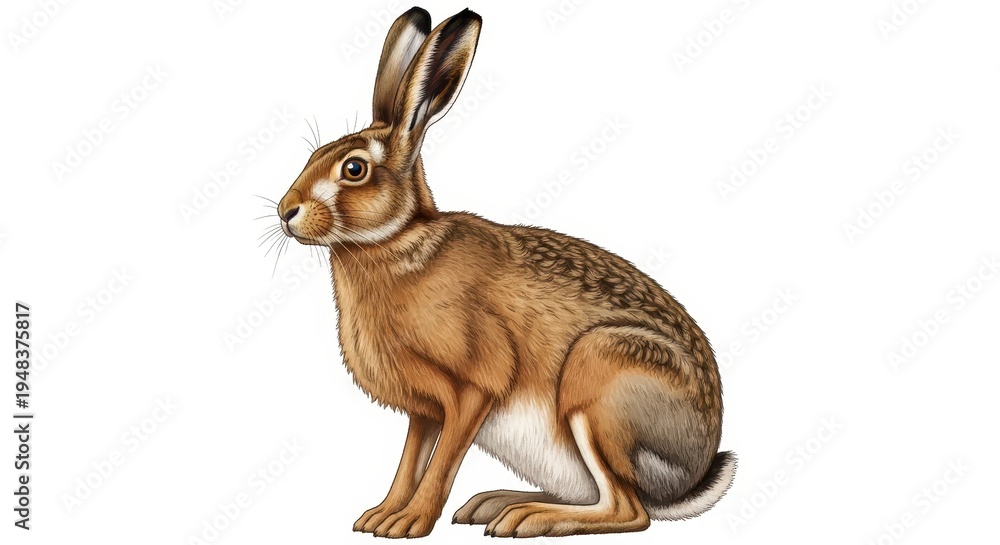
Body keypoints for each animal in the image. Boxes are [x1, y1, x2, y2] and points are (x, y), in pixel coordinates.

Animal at [274, 6, 735, 539]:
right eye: (313, 156)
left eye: (353, 169)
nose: (286, 211)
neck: (399, 242)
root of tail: (690, 479)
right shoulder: (424, 410)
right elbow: (409, 462)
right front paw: (381, 516)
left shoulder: (473, 389)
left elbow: (440, 465)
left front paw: (410, 523)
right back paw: (496, 503)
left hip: (600, 380)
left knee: (628, 510)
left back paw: (526, 519)